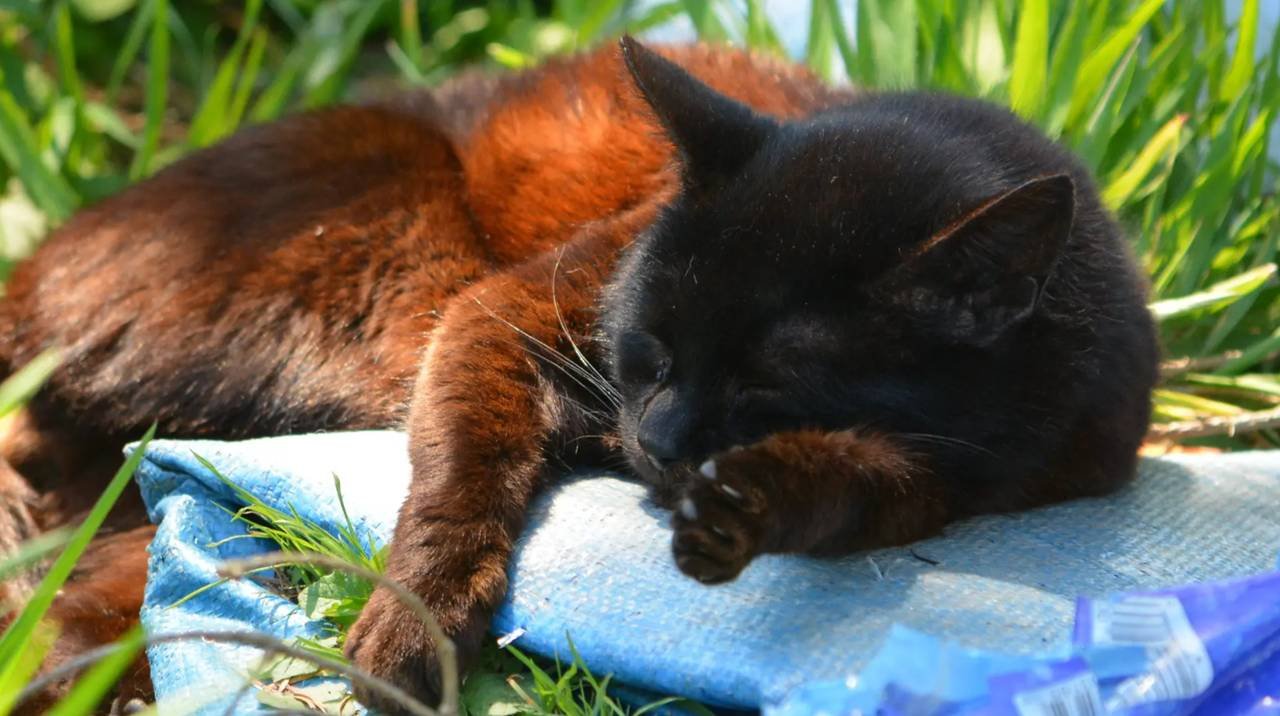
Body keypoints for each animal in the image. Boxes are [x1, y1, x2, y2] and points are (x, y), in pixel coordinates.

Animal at [0, 39, 1162, 712]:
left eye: (766, 389)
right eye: (646, 344)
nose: (657, 437)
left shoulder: (949, 480)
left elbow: (841, 481)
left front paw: (738, 507)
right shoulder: (503, 315)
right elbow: (460, 478)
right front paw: (416, 626)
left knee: (127, 548)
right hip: (375, 274)